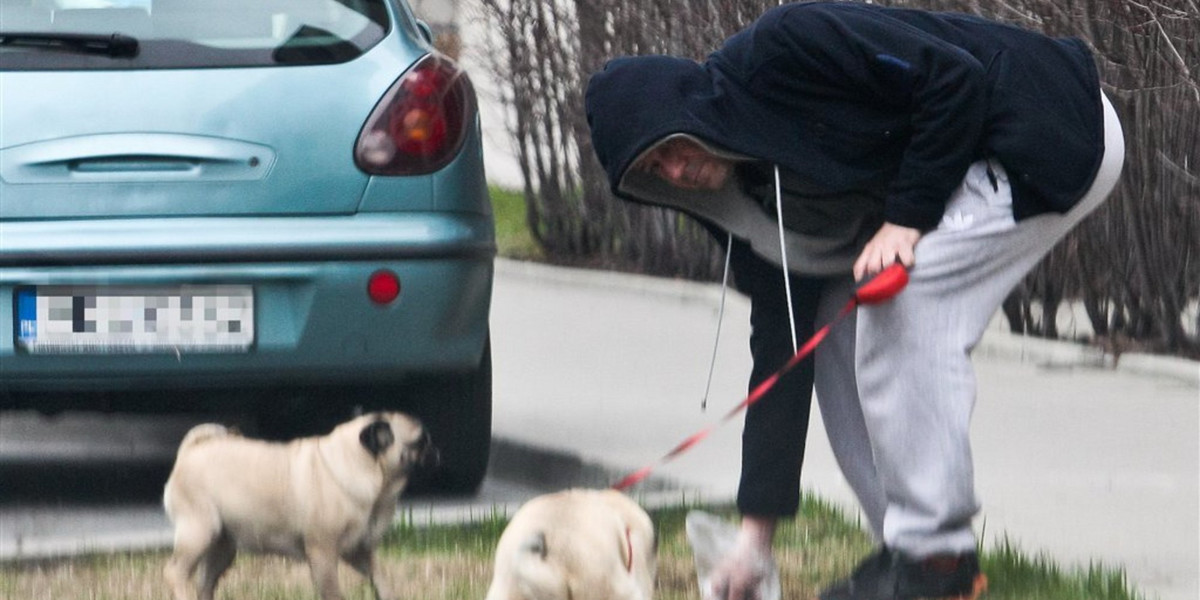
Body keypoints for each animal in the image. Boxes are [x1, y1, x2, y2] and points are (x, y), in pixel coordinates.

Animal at [162, 412, 434, 600]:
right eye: (420, 442)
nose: (435, 446)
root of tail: (189, 452)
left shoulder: (359, 551)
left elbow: (381, 579)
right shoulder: (323, 552)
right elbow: (332, 592)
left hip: (223, 546)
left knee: (204, 583)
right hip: (199, 532)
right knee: (175, 572)